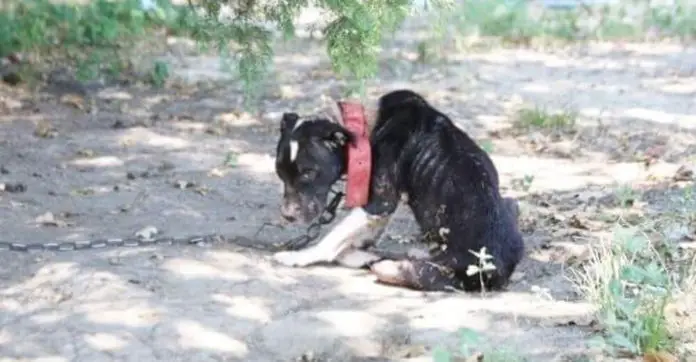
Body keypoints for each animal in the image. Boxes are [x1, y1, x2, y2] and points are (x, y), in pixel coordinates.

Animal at [272, 90, 520, 292]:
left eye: (308, 173)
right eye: (279, 173)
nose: (286, 216)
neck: (367, 126)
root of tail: (498, 271)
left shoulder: (380, 202)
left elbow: (333, 236)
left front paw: (301, 256)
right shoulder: (378, 209)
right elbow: (359, 236)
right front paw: (353, 252)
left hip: (430, 271)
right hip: (510, 203)